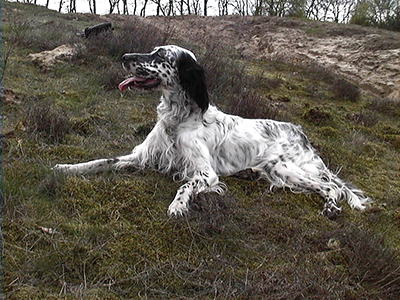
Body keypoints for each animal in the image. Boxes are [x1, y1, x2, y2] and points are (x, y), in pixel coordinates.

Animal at [52, 45, 368, 218]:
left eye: (160, 55)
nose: (124, 55)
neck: (177, 119)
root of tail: (300, 132)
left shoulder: (205, 173)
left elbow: (185, 185)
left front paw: (178, 206)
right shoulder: (142, 155)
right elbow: (100, 160)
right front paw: (66, 167)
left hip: (283, 167)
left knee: (331, 187)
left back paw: (330, 208)